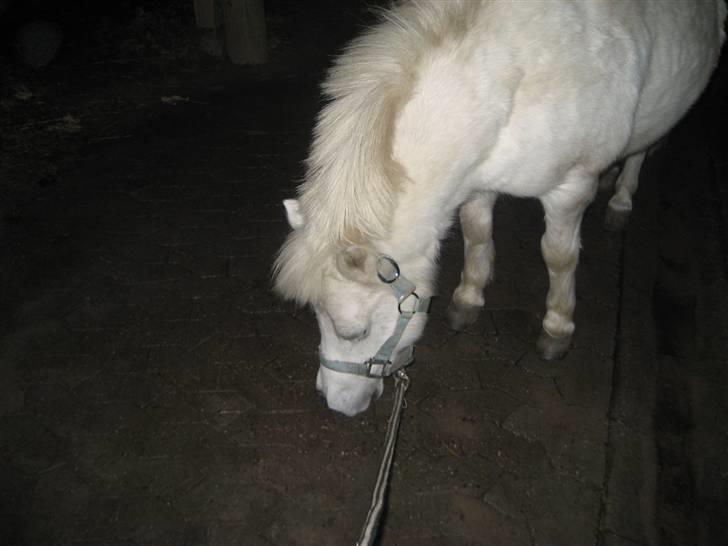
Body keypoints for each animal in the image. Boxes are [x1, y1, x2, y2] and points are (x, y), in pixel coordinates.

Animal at [273, 0, 726, 416]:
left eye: (353, 332)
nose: (335, 403)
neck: (512, 83)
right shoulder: (478, 184)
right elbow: (477, 235)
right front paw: (468, 299)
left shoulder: (570, 189)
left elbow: (558, 258)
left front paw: (557, 328)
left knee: (641, 152)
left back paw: (621, 200)